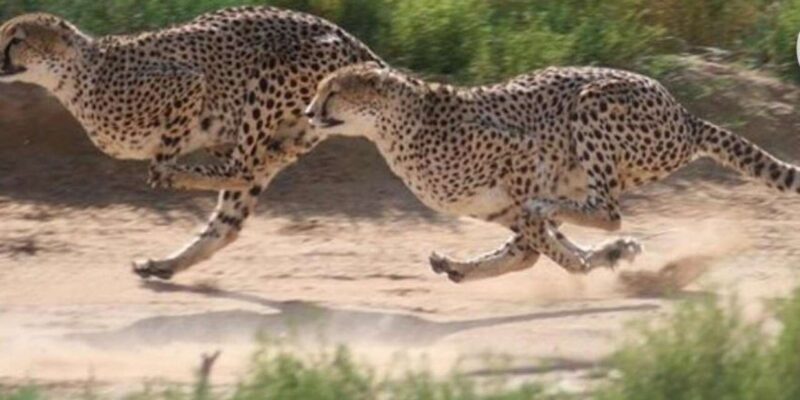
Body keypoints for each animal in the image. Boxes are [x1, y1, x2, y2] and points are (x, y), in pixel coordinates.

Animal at [303, 62, 800, 282]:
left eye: (333, 92)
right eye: (320, 90)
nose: (308, 112)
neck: (397, 126)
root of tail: (685, 116)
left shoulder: (526, 156)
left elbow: (540, 240)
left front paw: (586, 261)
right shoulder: (496, 206)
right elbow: (531, 247)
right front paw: (601, 257)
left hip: (593, 104)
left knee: (607, 210)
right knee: (560, 226)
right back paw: (463, 266)